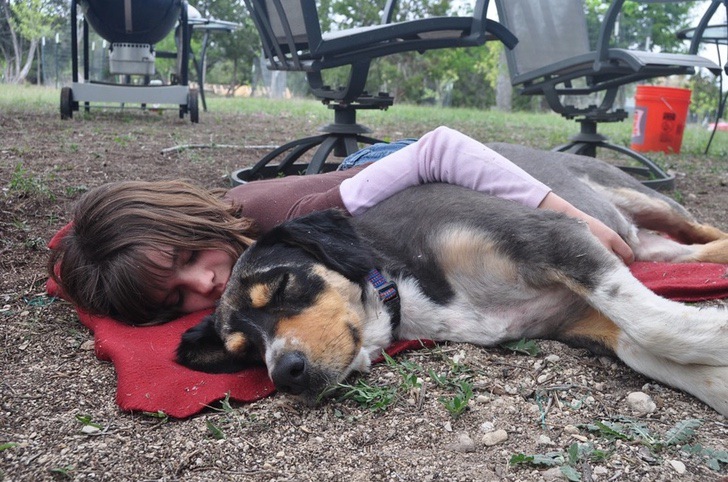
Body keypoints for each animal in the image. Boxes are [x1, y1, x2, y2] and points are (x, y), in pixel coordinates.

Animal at [175, 142, 728, 414]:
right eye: (247, 352)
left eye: (283, 286)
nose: (284, 374)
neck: (400, 286)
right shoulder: (582, 318)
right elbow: (656, 350)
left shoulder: (554, 237)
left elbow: (658, 326)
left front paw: (718, 331)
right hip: (648, 243)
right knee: (692, 250)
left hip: (644, 200)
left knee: (703, 230)